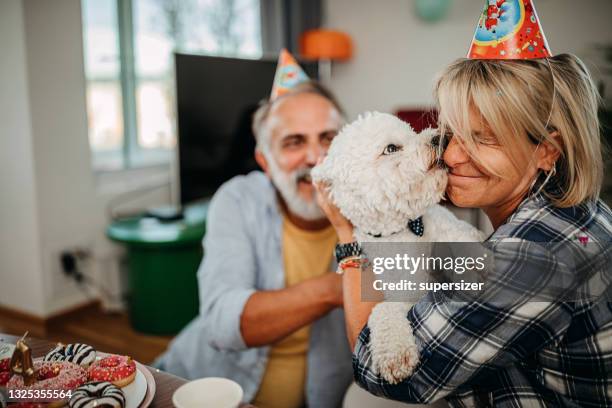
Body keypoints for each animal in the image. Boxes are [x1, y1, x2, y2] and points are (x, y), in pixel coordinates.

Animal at [316, 112, 482, 386]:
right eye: (391, 148)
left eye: (412, 131)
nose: (438, 137)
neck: (402, 230)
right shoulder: (403, 291)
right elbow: (383, 310)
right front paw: (394, 355)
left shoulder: (450, 226)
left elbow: (461, 237)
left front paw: (473, 261)